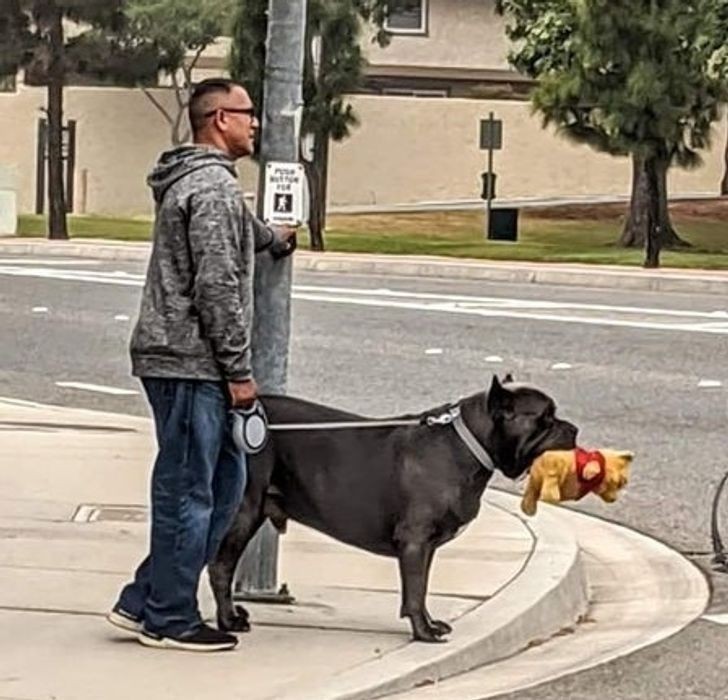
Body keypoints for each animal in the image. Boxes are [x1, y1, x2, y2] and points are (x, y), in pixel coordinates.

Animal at [208, 374, 576, 644]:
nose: (574, 428)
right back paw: (229, 620)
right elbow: (414, 591)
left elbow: (421, 588)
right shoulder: (415, 541)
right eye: (545, 418)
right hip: (244, 511)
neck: (467, 444)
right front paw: (423, 633)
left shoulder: (425, 547)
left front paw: (430, 623)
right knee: (220, 567)